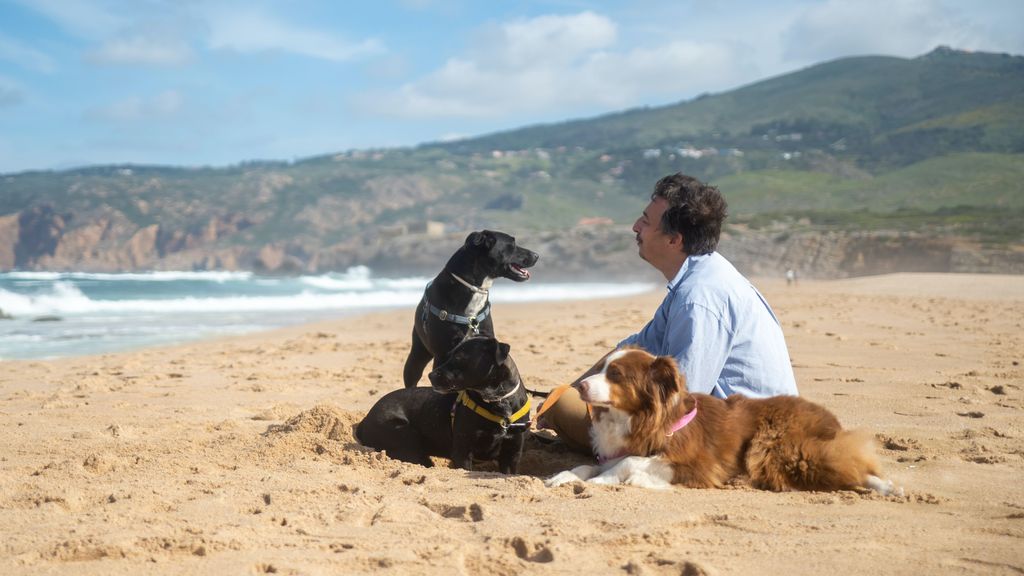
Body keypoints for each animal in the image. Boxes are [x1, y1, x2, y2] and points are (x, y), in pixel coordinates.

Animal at [354, 336, 532, 471]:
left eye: (459, 357)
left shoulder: (512, 452)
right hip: (405, 436)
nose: (431, 375)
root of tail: (364, 421)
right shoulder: (463, 451)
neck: (498, 400)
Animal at [548, 344, 901, 494]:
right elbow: (588, 466)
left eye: (616, 375)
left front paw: (606, 481)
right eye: (602, 368)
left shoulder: (700, 463)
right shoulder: (615, 450)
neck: (638, 419)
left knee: (844, 465)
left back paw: (884, 486)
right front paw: (564, 476)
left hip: (775, 446)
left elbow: (629, 463)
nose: (580, 385)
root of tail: (832, 422)